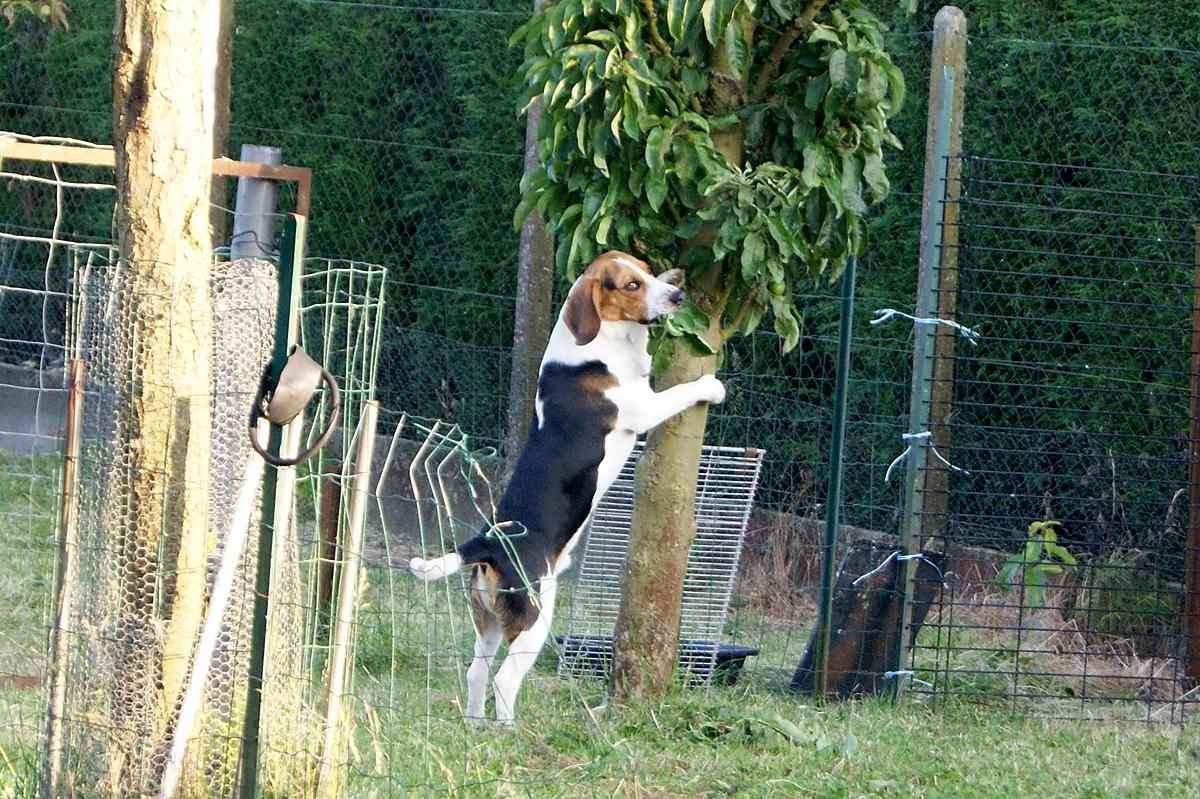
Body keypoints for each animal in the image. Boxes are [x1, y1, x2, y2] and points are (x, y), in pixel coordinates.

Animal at [408, 249, 724, 719]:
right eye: (631, 285)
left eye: (647, 270)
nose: (677, 295)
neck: (599, 343)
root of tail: (488, 542)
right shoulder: (644, 407)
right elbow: (680, 391)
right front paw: (711, 385)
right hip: (536, 619)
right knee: (503, 681)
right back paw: (508, 729)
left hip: (489, 620)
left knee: (476, 673)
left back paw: (476, 725)